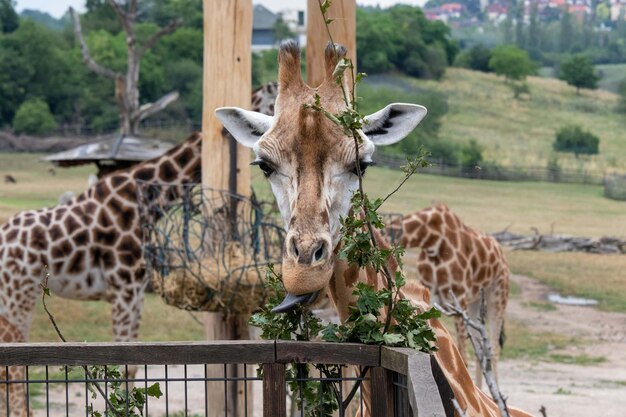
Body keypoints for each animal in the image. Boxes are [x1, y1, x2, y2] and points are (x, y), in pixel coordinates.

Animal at [0, 83, 276, 414]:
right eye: (272, 104)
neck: (144, 200)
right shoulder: (123, 288)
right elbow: (121, 361)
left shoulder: (136, 291)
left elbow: (133, 362)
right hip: (19, 297)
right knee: (14, 366)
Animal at [386, 203, 508, 386]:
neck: (431, 240)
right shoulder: (432, 298)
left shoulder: (459, 298)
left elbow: (463, 357)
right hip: (476, 303)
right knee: (480, 350)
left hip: (497, 295)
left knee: (494, 349)